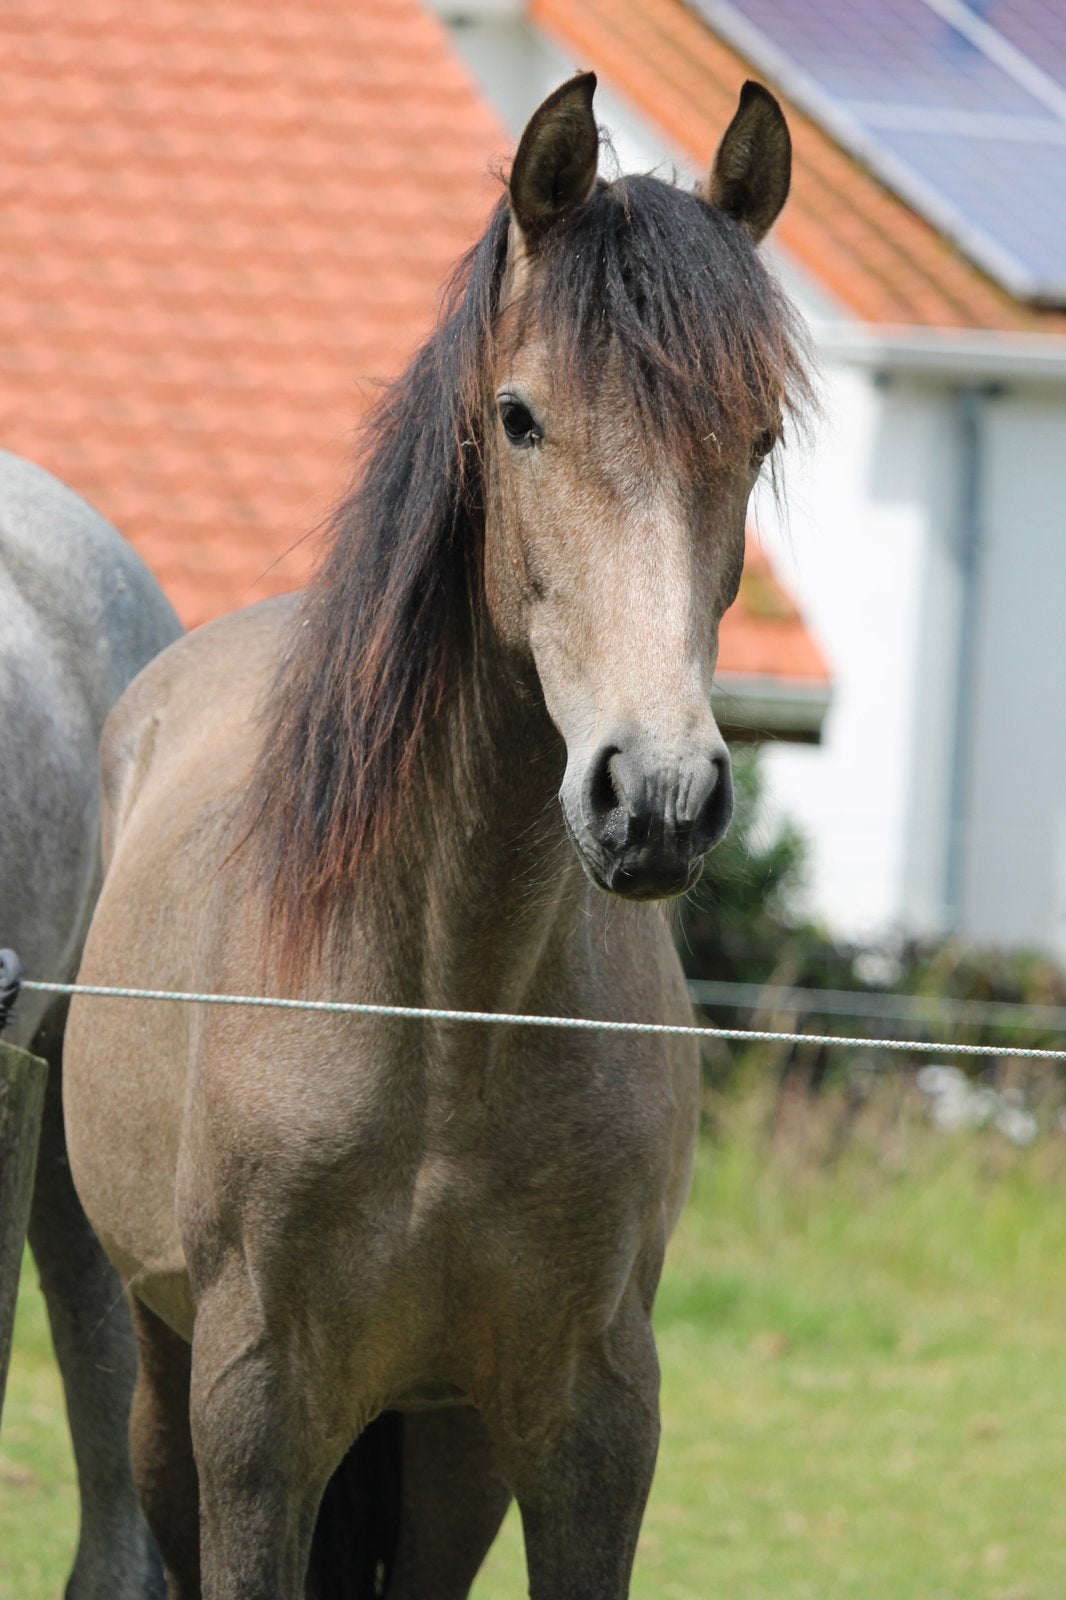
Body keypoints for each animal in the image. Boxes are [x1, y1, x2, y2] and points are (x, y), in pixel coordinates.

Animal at [62, 75, 812, 1599]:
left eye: (756, 437)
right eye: (519, 418)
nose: (656, 795)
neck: (448, 1006)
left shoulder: (589, 1422)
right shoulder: (255, 1415)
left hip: (448, 1443)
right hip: (167, 1379)